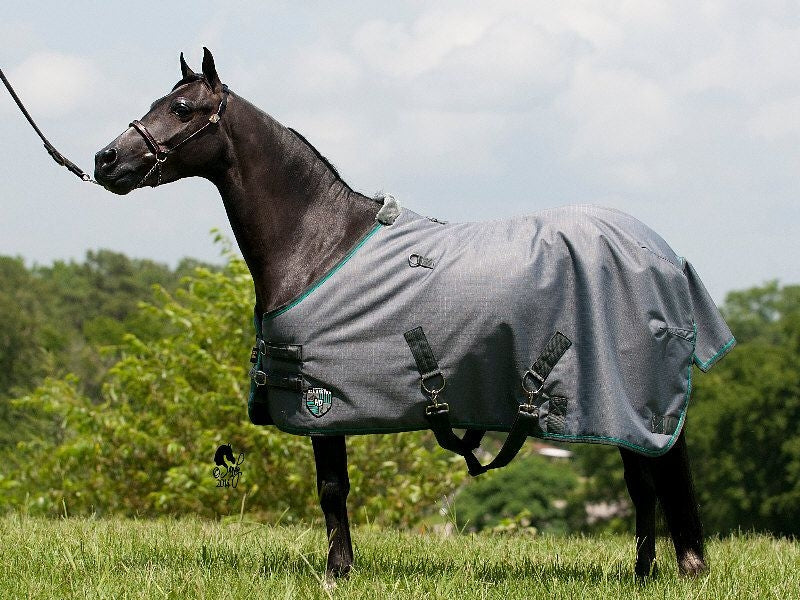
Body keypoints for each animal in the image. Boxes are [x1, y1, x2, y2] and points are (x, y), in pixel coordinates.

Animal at [94, 48, 729, 580]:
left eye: (181, 108)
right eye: (155, 102)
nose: (105, 160)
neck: (318, 240)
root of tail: (668, 257)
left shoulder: (321, 400)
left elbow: (331, 489)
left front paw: (336, 572)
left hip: (629, 400)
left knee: (654, 480)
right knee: (643, 484)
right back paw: (644, 573)